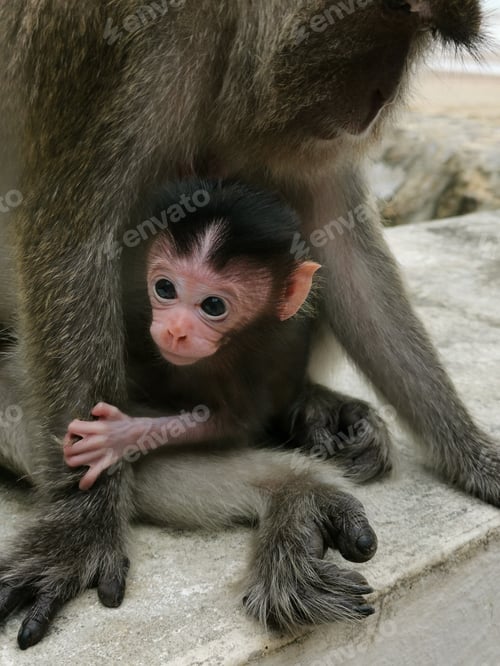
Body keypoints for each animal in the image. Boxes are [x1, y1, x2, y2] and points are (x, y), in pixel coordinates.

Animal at [0, 0, 497, 650]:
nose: (380, 96)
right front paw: (78, 531)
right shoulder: (101, 33)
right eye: (399, 18)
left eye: (418, 31)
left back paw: (299, 459)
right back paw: (293, 487)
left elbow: (336, 230)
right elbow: (72, 245)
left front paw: (474, 454)